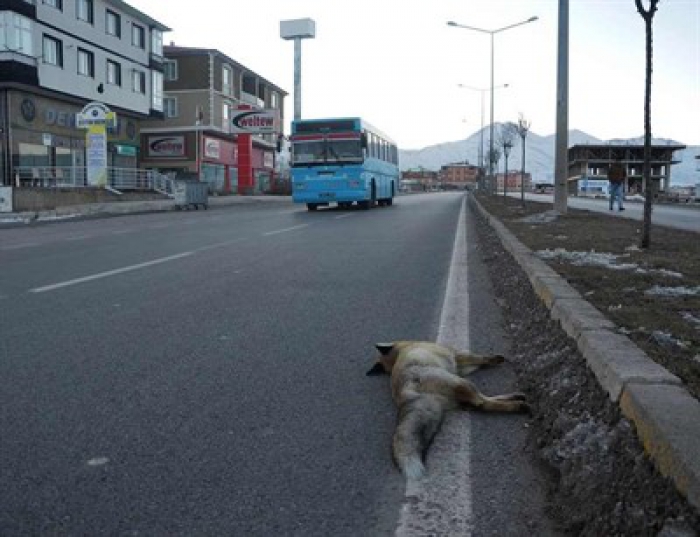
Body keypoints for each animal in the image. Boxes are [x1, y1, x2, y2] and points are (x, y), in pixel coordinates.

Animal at [370, 340, 528, 478]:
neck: (402, 350)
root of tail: (404, 393)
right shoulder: (456, 357)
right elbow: (481, 358)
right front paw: (496, 359)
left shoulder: (460, 367)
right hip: (461, 382)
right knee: (482, 402)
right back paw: (518, 405)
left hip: (461, 393)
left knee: (481, 404)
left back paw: (516, 397)